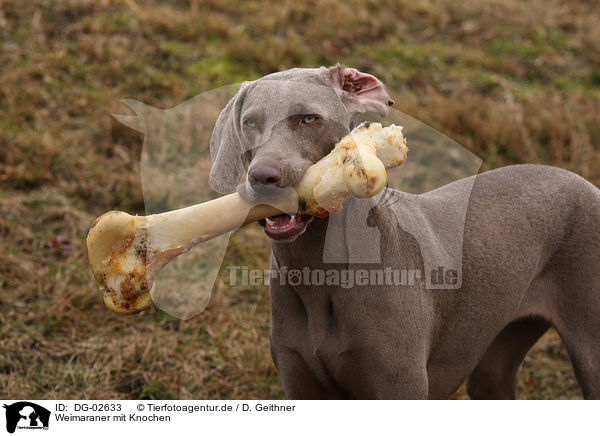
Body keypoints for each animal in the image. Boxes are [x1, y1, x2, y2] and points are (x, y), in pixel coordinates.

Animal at [207, 63, 600, 398]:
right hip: (495, 361)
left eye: (309, 118)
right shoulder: (299, 383)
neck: (319, 275)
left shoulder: (398, 385)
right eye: (250, 122)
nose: (264, 178)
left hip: (589, 351)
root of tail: (580, 179)